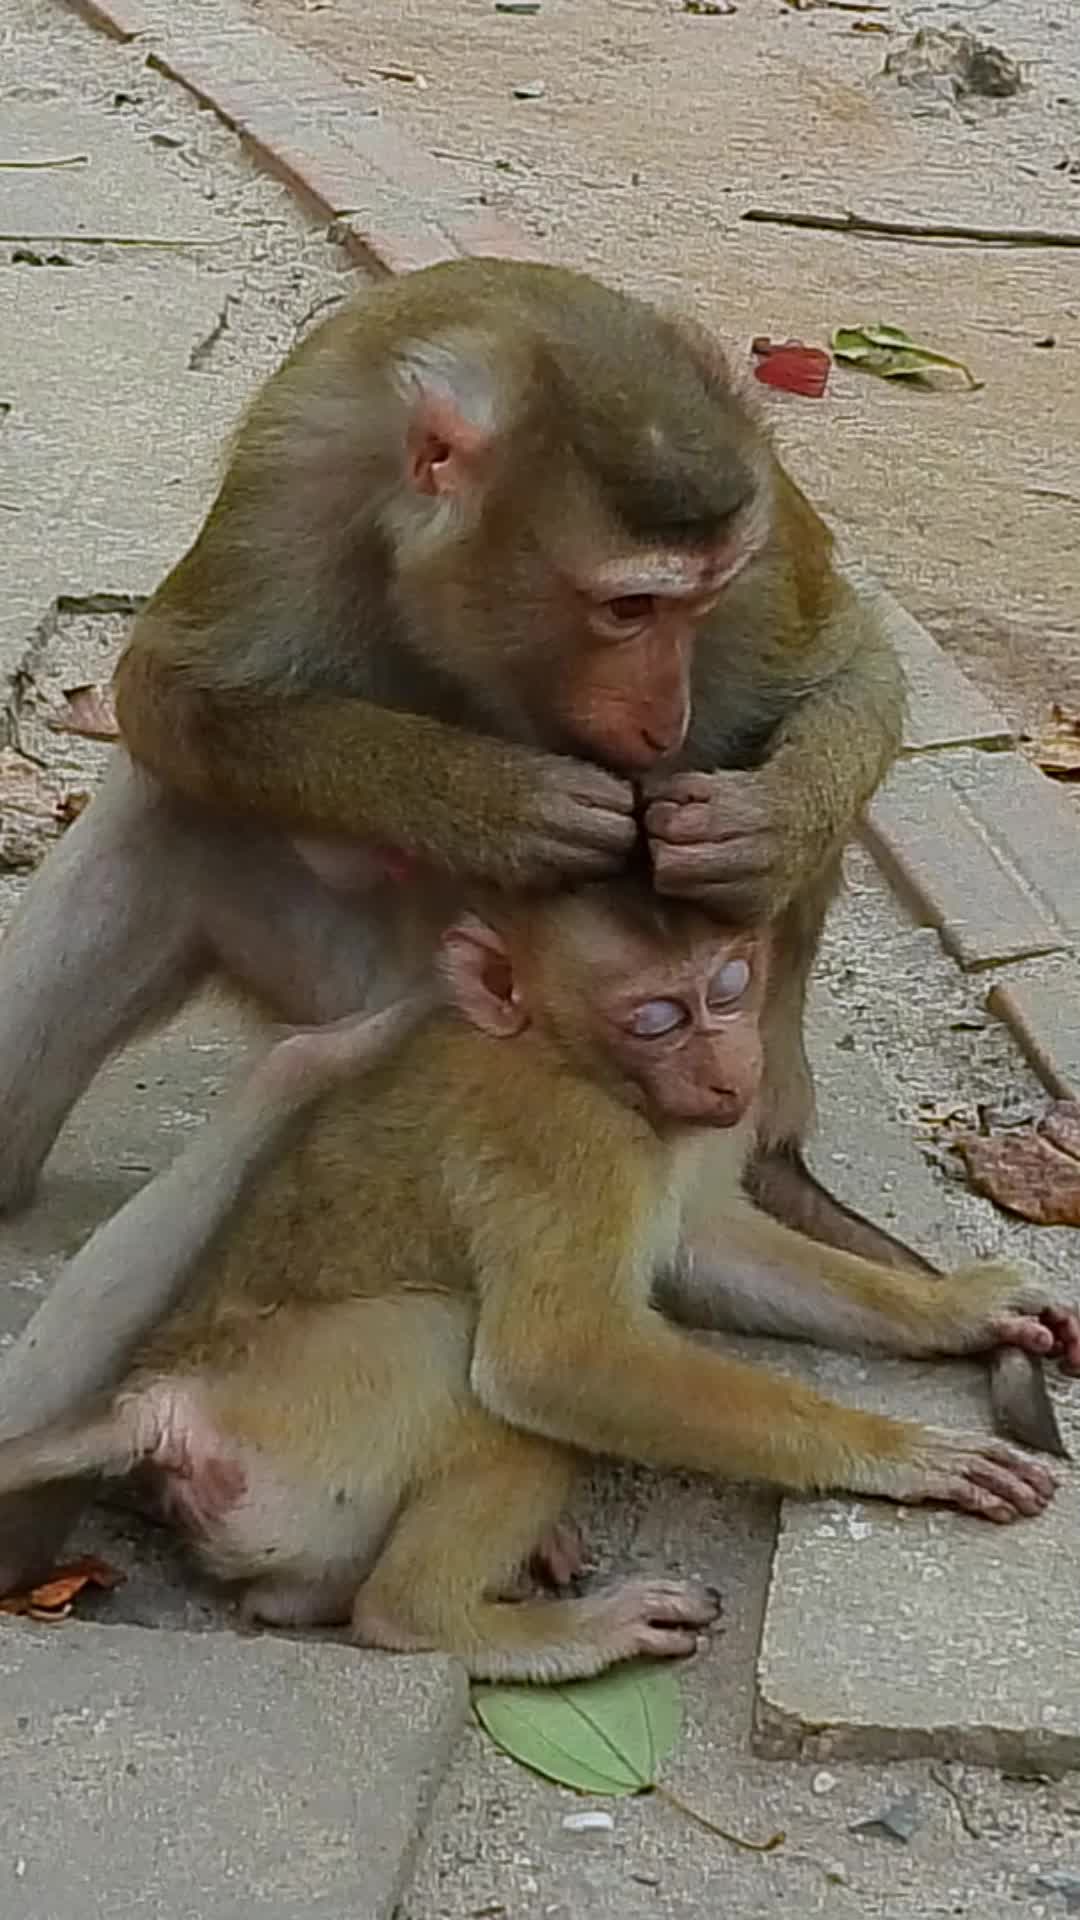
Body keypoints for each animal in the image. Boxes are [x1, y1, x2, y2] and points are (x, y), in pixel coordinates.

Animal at [0, 256, 1055, 1586]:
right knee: (173, 812)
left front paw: (756, 829)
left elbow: (849, 667)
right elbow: (167, 693)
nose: (666, 715)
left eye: (693, 606)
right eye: (625, 611)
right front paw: (500, 803)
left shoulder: (758, 549)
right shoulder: (304, 462)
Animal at [0, 881, 1074, 1674]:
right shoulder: (568, 1142)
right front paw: (903, 1452)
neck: (579, 1060)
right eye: (658, 1015)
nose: (734, 1067)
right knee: (461, 1360)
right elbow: (558, 1358)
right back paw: (474, 1623)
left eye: (730, 982)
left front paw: (956, 1307)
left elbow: (708, 1247)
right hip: (312, 1411)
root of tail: (164, 1399)